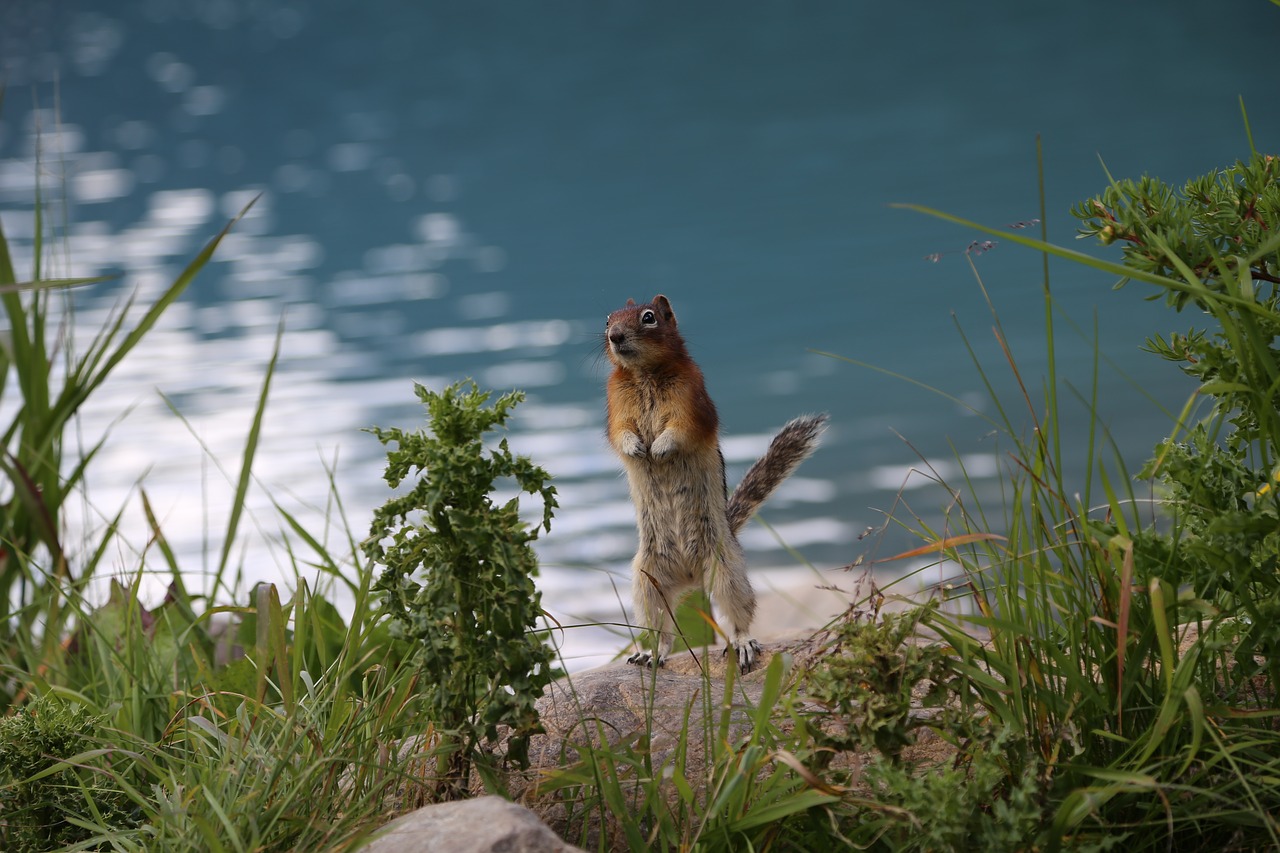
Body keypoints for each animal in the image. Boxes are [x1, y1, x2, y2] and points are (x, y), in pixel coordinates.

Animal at [601, 292, 824, 671]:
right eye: (607, 320)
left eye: (648, 317)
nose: (615, 336)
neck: (645, 374)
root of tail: (690, 577)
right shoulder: (616, 403)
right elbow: (620, 433)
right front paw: (636, 447)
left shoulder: (691, 399)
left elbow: (681, 429)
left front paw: (659, 448)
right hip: (646, 581)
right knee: (662, 629)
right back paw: (650, 654)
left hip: (727, 569)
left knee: (737, 615)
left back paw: (743, 644)